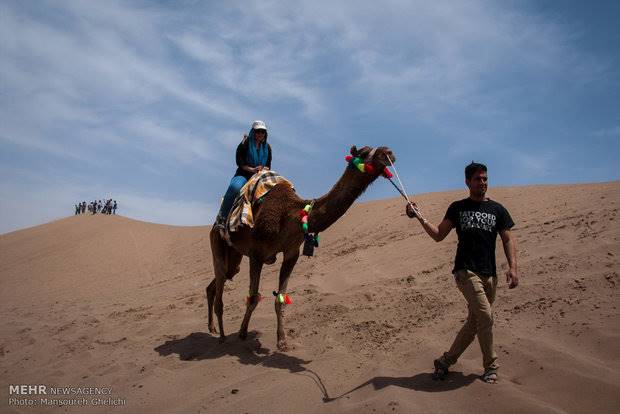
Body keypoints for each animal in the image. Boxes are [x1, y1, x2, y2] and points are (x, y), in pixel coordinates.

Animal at [206, 145, 394, 350]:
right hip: (217, 243)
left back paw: (213, 328)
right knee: (220, 285)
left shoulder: (292, 253)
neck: (291, 215)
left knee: (218, 281)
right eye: (364, 152)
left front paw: (282, 341)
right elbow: (254, 297)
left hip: (235, 257)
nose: (388, 153)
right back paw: (222, 336)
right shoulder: (257, 254)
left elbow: (280, 299)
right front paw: (242, 333)